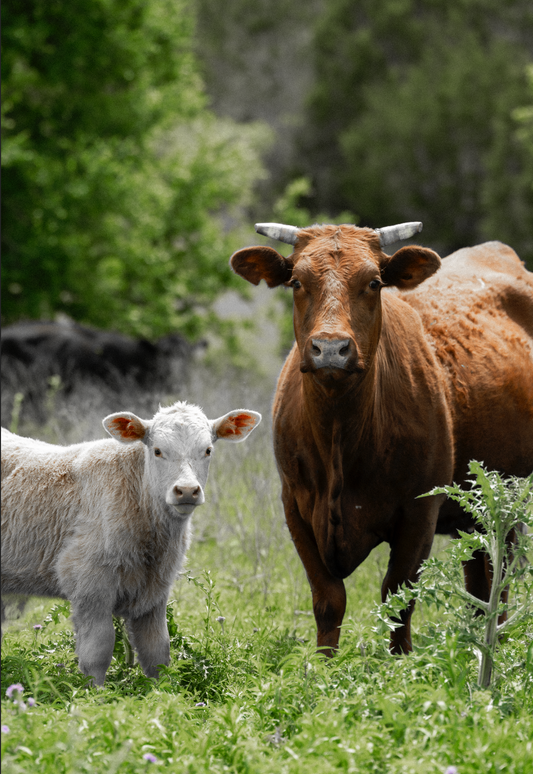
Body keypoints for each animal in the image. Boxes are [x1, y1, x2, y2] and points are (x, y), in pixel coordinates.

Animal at [2, 404, 260, 688]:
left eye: (208, 450)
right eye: (157, 450)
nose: (186, 490)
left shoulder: (156, 590)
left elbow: (157, 651)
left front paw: (164, 693)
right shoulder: (88, 583)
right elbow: (97, 651)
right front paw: (97, 695)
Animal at [230, 223, 532, 656]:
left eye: (373, 283)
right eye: (297, 282)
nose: (331, 349)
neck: (340, 436)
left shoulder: (419, 513)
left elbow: (398, 597)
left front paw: (400, 661)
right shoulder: (295, 508)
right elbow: (328, 599)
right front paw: (324, 664)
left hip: (504, 501)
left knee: (499, 578)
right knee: (480, 579)